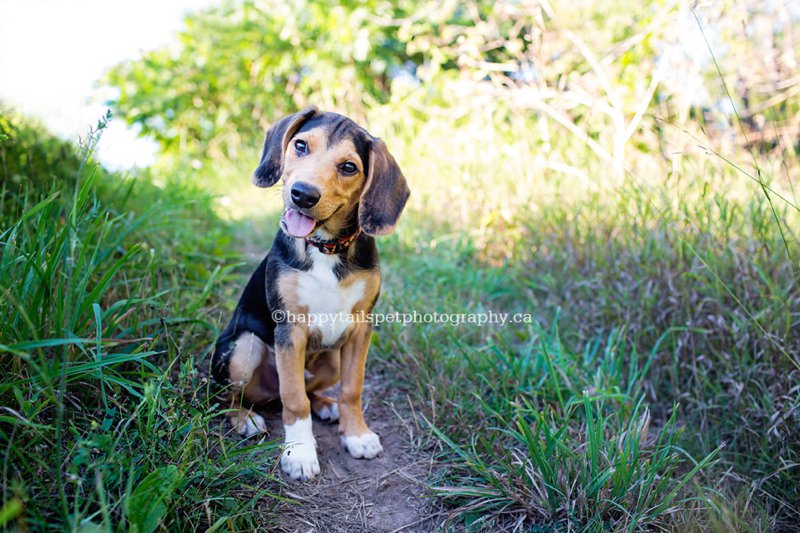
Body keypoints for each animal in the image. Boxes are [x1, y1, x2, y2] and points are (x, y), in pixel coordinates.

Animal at [209, 106, 410, 480]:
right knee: (228, 398)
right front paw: (300, 452)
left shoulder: (361, 328)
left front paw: (356, 435)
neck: (325, 247)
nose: (302, 194)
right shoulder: (290, 328)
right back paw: (244, 420)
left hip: (331, 359)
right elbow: (293, 398)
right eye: (300, 146)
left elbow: (352, 390)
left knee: (313, 389)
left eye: (348, 167)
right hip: (243, 347)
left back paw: (326, 405)